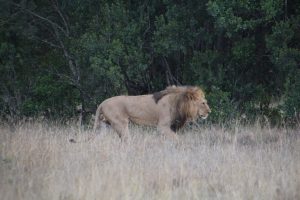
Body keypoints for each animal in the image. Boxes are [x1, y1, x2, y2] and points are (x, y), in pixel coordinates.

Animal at [70, 84, 211, 142]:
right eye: (203, 103)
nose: (209, 112)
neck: (179, 103)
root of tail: (102, 102)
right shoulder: (162, 126)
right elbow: (177, 139)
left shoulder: (170, 127)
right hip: (121, 124)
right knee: (126, 141)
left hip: (103, 126)